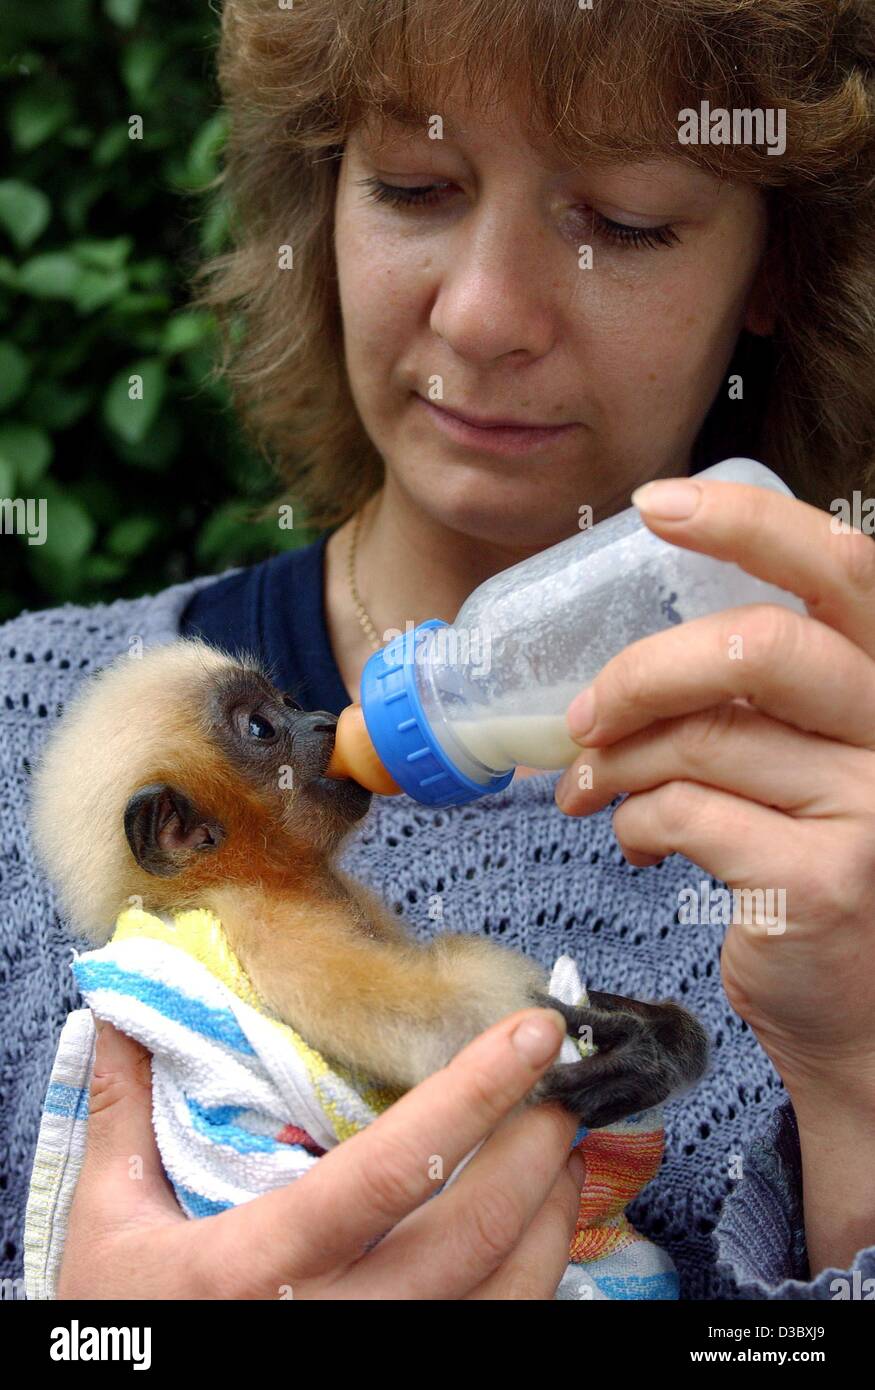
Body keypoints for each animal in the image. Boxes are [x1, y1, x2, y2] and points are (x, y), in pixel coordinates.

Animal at [29, 638, 709, 1130]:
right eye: (260, 728)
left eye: (287, 700)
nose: (324, 721)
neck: (272, 874)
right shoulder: (266, 925)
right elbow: (436, 1025)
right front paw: (634, 1047)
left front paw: (661, 1035)